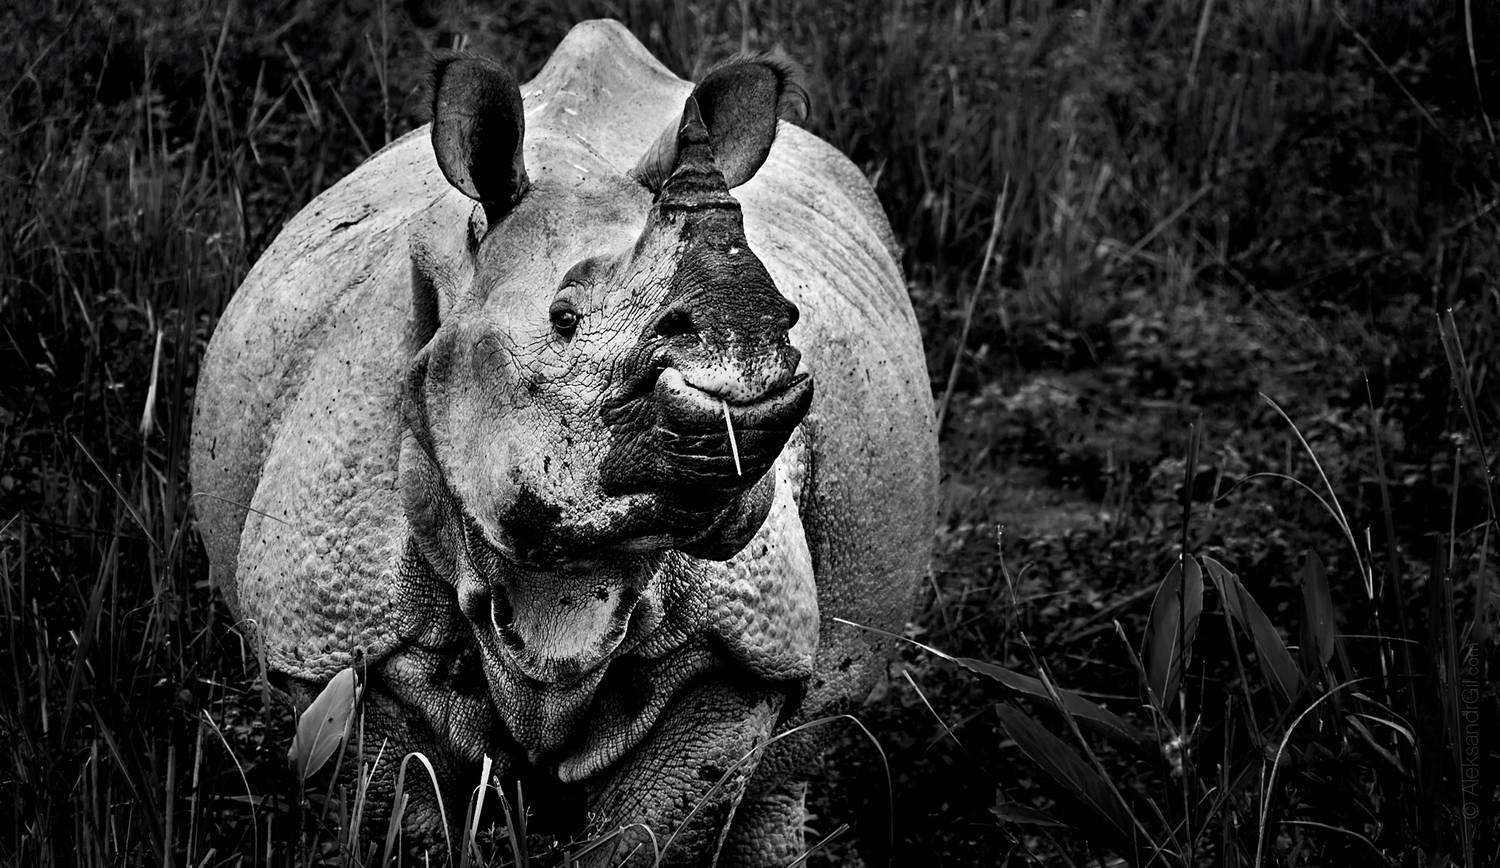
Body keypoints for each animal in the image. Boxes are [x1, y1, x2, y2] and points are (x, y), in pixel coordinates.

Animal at [191, 19, 937, 866]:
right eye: (565, 319)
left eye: (788, 314)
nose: (750, 392)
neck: (565, 583)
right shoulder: (334, 639)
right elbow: (400, 813)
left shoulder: (739, 653)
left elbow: (653, 828)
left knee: (786, 770)